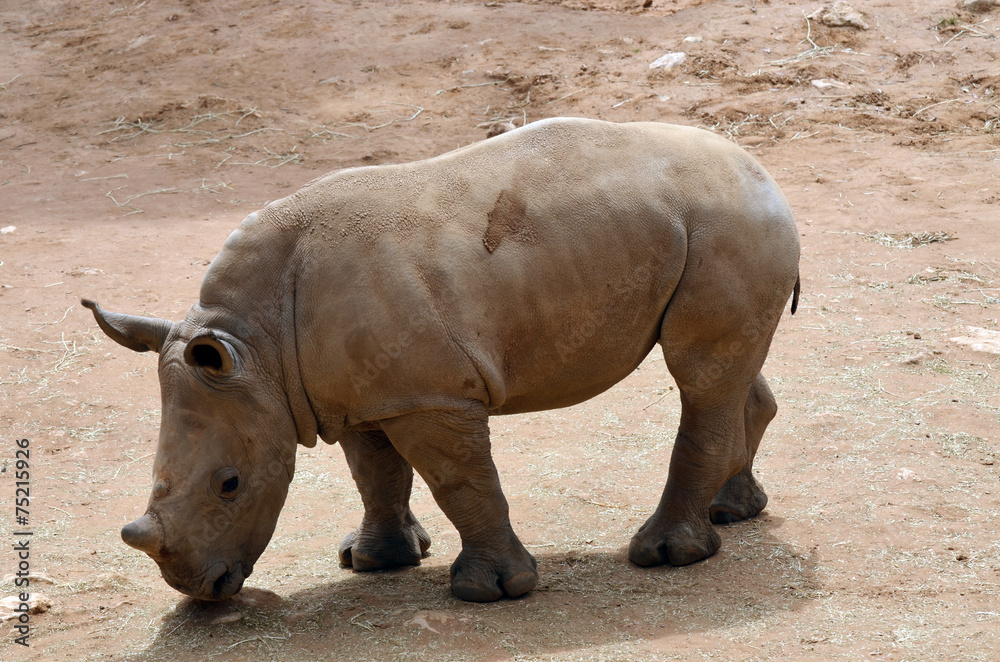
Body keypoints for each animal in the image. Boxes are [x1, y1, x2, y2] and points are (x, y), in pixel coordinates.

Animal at [83, 117, 800, 603]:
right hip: (711, 229)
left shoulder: (429, 397)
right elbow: (375, 473)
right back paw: (733, 512)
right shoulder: (361, 393)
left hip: (725, 225)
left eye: (229, 485)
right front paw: (375, 562)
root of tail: (764, 172)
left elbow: (459, 481)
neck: (256, 346)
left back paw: (666, 556)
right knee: (726, 371)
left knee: (698, 373)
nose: (197, 589)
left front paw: (489, 592)